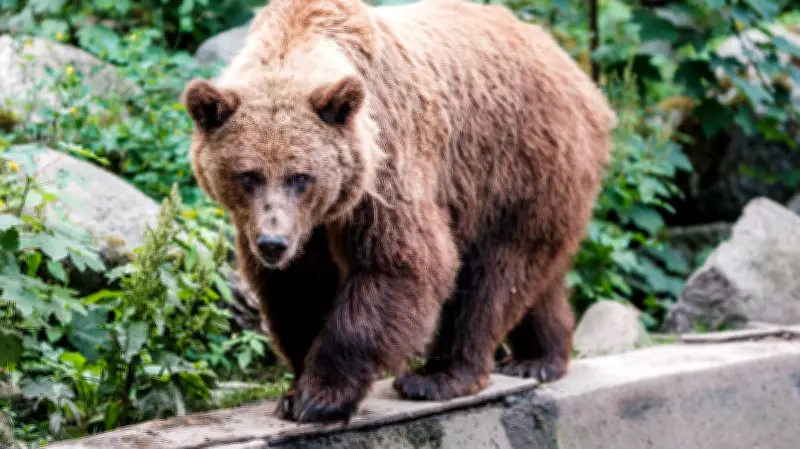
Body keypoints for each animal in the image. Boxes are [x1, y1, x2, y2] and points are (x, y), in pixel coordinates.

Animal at [183, 0, 615, 424]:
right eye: (248, 175)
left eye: (300, 177)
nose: (273, 243)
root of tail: (581, 78)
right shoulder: (302, 224)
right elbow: (298, 288)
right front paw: (293, 392)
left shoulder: (382, 171)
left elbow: (401, 262)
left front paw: (319, 398)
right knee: (534, 277)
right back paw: (538, 358)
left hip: (518, 167)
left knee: (493, 274)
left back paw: (439, 376)